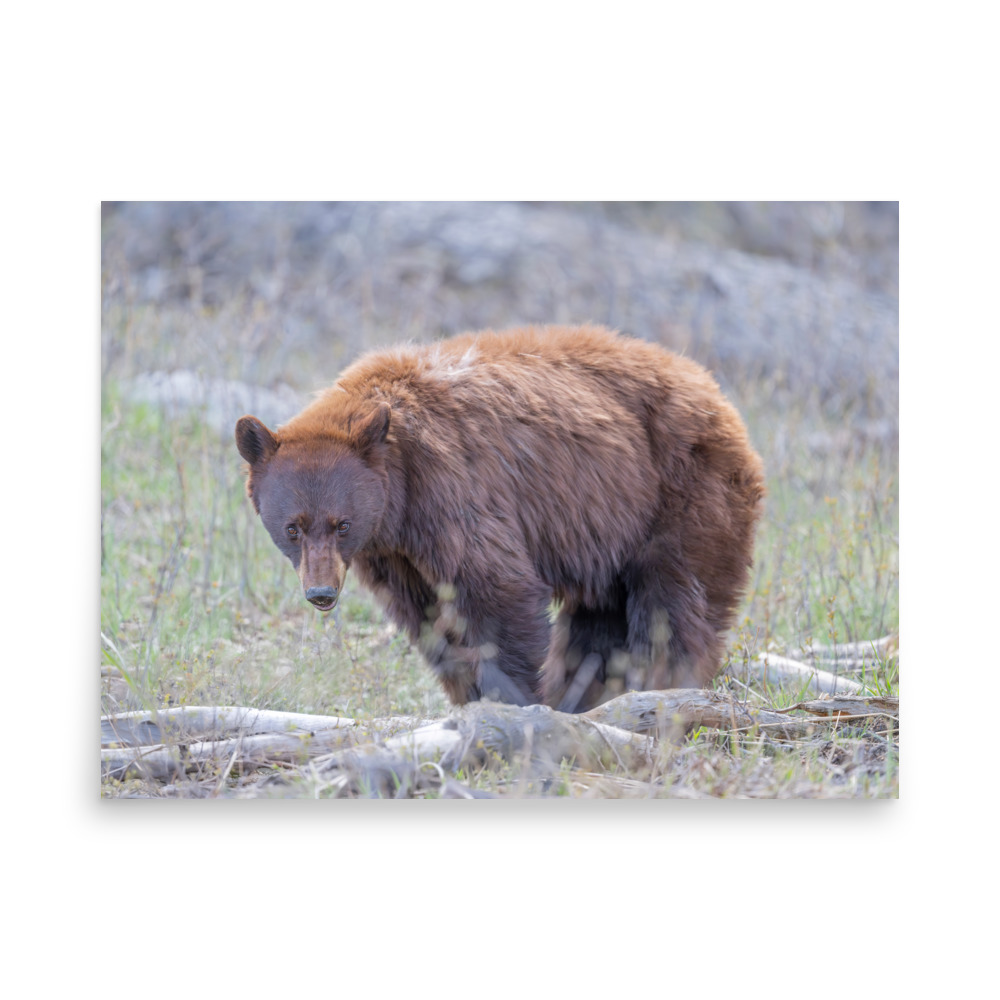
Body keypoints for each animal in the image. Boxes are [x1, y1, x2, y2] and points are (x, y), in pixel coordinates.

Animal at [235, 324, 764, 712]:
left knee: (674, 602)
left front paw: (512, 699)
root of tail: (714, 390)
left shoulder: (454, 490)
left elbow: (497, 591)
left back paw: (661, 684)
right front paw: (470, 696)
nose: (321, 593)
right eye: (293, 528)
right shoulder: (394, 553)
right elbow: (429, 618)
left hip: (681, 492)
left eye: (341, 524)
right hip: (609, 528)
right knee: (599, 619)